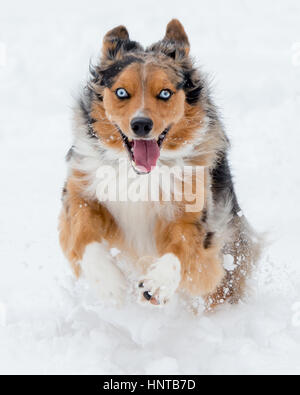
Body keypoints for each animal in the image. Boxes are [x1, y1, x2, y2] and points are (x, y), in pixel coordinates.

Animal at [59, 19, 260, 310]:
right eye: (122, 92)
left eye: (165, 93)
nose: (141, 124)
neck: (141, 175)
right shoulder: (80, 191)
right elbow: (83, 232)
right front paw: (109, 284)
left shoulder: (196, 214)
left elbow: (183, 246)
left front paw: (158, 283)